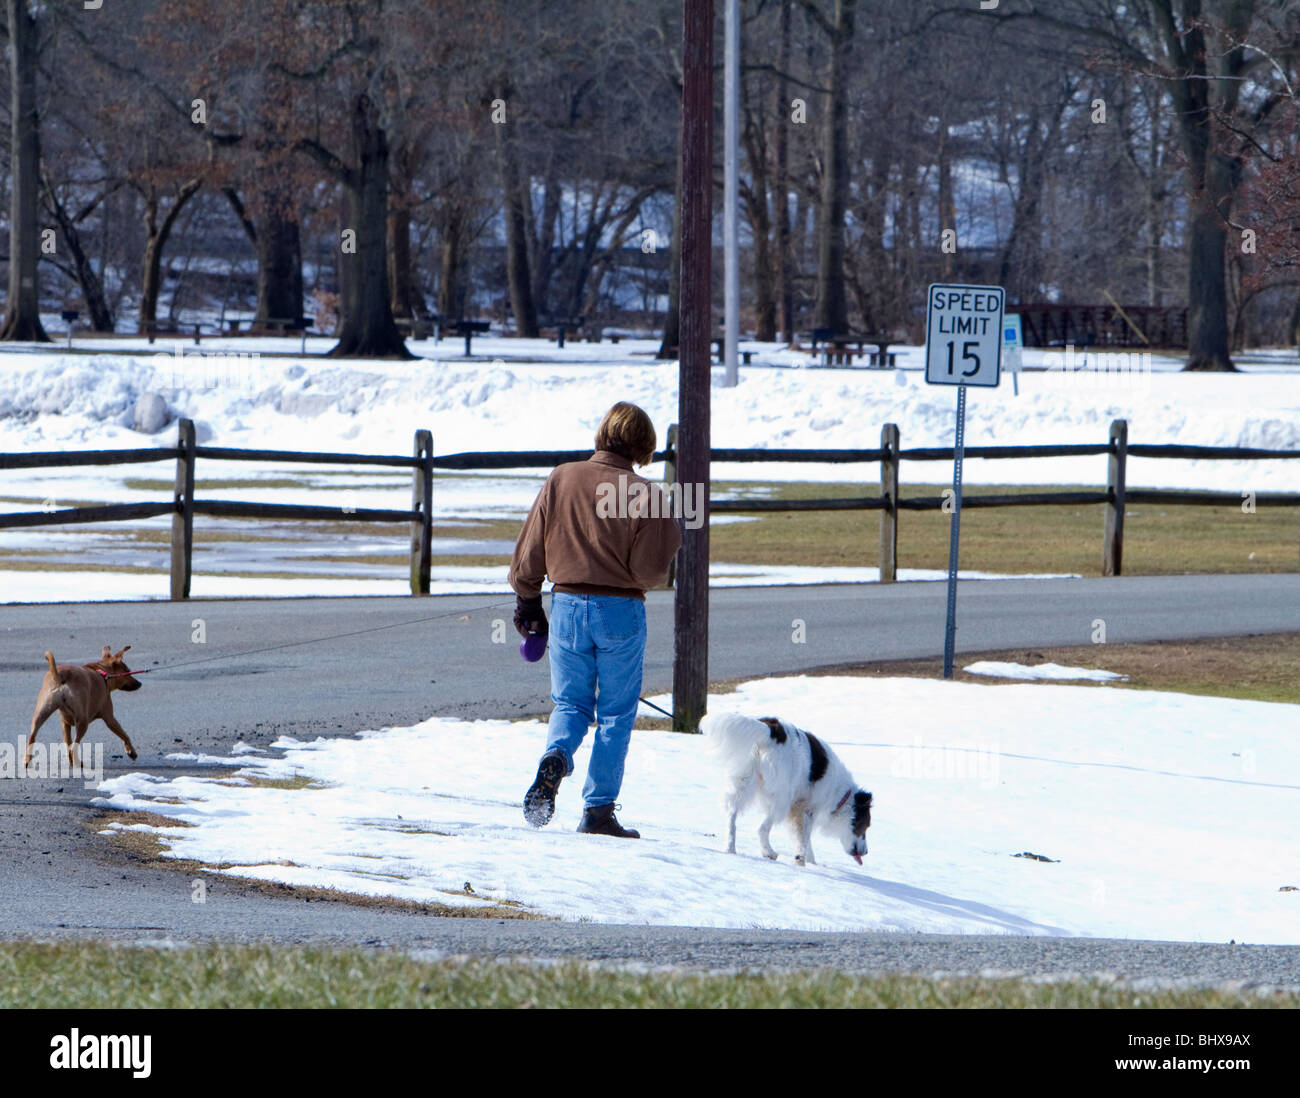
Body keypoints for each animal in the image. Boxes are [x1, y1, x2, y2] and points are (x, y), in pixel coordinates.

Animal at [702, 712, 873, 862]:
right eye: (865, 826)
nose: (866, 852)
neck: (840, 794)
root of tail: (771, 730)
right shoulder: (807, 811)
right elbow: (804, 839)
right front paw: (804, 861)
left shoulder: (797, 814)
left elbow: (804, 840)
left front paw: (809, 860)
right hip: (782, 799)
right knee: (761, 828)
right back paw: (769, 852)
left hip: (743, 782)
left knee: (732, 817)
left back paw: (730, 849)